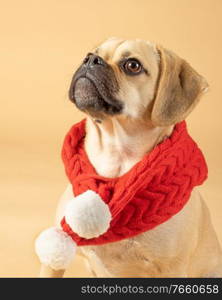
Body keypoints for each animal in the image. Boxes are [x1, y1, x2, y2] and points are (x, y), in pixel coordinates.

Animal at [39, 38, 222, 278]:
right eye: (89, 54)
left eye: (132, 65)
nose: (91, 60)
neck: (115, 156)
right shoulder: (53, 263)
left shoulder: (171, 270)